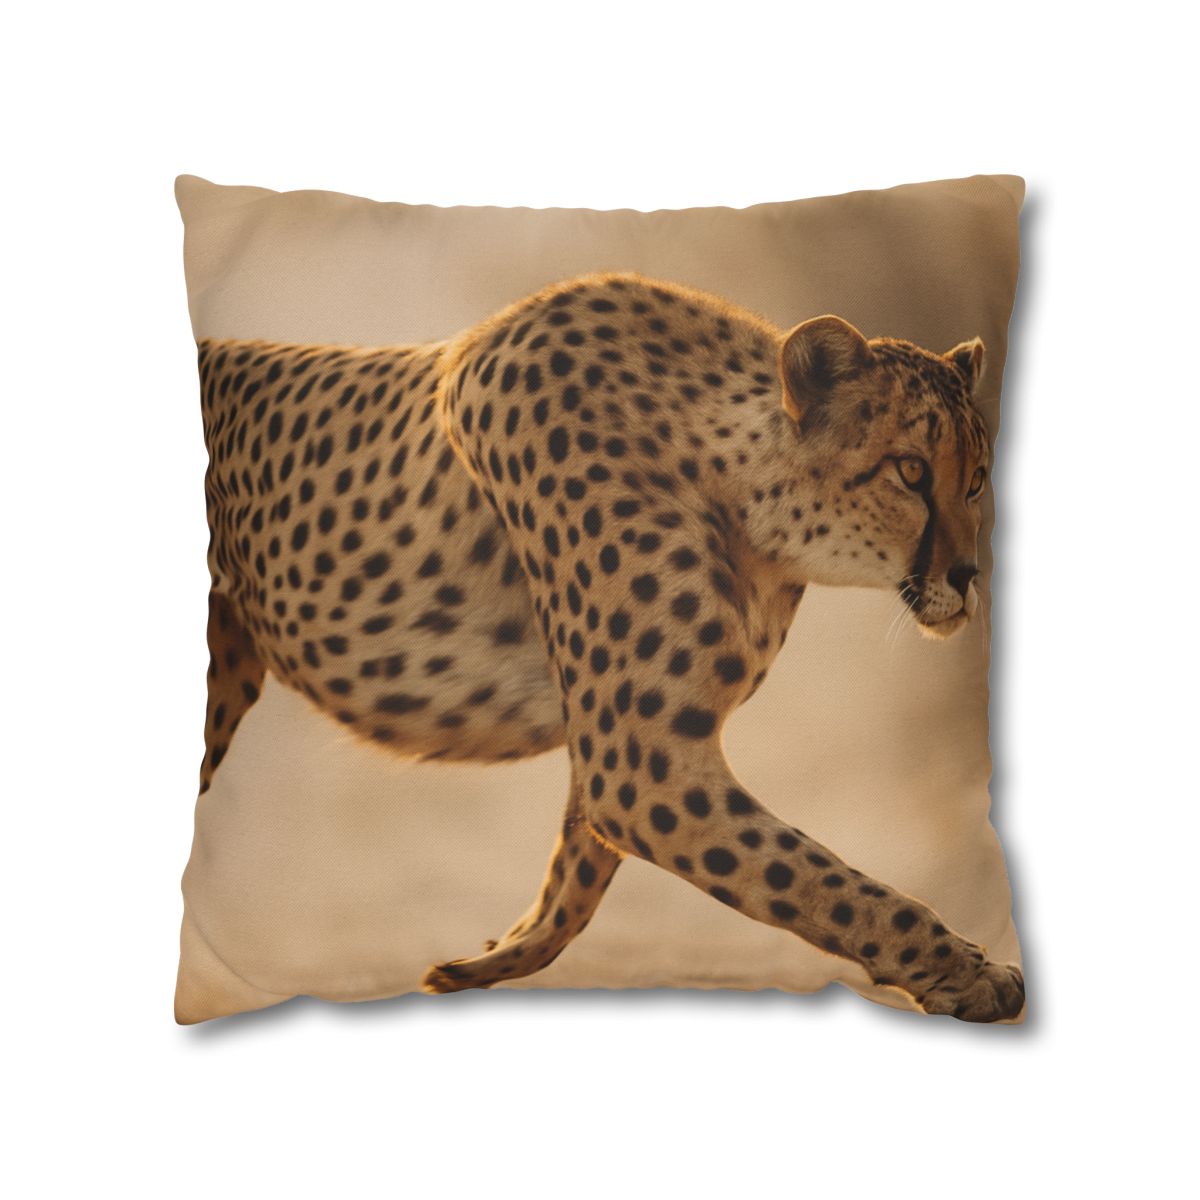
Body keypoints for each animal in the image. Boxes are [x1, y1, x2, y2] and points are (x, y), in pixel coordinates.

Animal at [196, 271, 1024, 1022]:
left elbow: (578, 872)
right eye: (911, 471)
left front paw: (485, 961)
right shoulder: (640, 763)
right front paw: (970, 972)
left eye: (978, 479)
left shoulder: (619, 744)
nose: (968, 577)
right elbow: (820, 881)